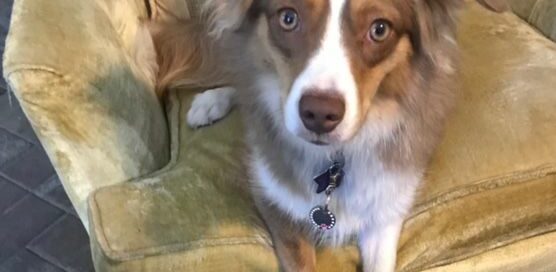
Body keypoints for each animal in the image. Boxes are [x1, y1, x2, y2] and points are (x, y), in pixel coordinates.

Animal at [143, 0, 508, 272]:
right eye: (288, 18)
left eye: (379, 29)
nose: (319, 114)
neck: (336, 160)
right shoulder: (275, 202)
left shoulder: (386, 209)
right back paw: (211, 101)